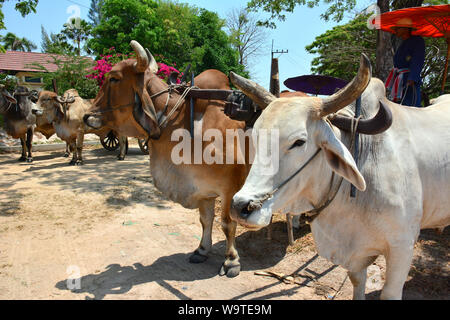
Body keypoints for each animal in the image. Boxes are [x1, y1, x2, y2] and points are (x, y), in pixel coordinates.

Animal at [85, 40, 253, 278]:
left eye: (114, 78)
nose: (87, 116)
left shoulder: (230, 189)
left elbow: (227, 223)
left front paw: (231, 261)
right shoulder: (203, 188)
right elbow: (205, 220)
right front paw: (202, 250)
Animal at [229, 54, 450, 298]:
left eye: (299, 142)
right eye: (256, 137)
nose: (240, 207)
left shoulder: (402, 248)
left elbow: (389, 292)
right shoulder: (355, 255)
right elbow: (357, 281)